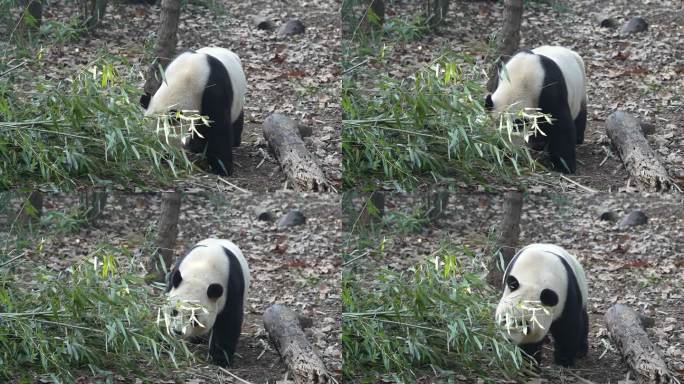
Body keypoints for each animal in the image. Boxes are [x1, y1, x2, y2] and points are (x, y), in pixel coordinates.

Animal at [141, 46, 246, 176]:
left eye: (162, 141)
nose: (160, 157)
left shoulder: (214, 89)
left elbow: (219, 129)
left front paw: (222, 168)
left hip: (237, 97)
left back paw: (234, 142)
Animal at [164, 237, 250, 366]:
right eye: (174, 312)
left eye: (194, 319)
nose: (178, 331)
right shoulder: (174, 278)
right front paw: (165, 339)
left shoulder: (231, 286)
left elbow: (228, 321)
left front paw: (220, 358)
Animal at [484, 46, 584, 174]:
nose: (506, 151)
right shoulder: (501, 75)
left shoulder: (549, 88)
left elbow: (560, 124)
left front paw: (565, 165)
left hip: (579, 92)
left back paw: (577, 139)